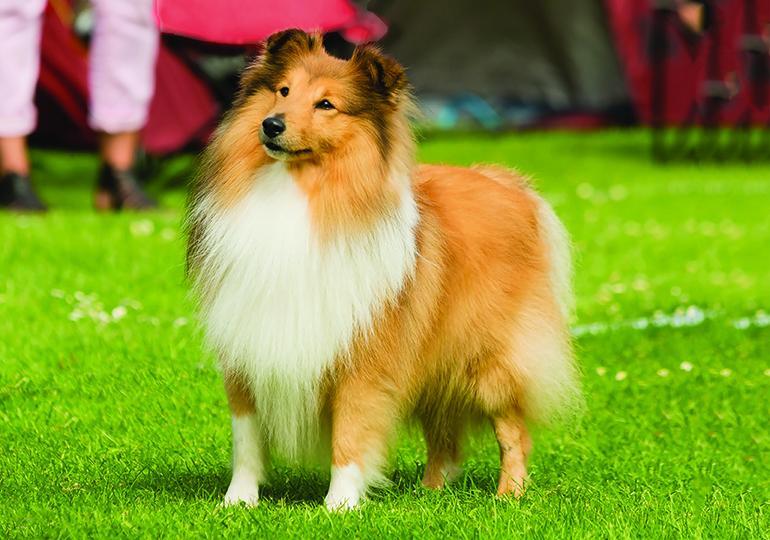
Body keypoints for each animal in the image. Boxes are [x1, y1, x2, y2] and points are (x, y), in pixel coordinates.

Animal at [186, 29, 580, 510]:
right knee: (444, 437)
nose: (271, 125)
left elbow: (350, 433)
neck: (300, 190)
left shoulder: (362, 357)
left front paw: (339, 506)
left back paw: (508, 496)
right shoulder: (246, 350)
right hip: (433, 356)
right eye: (283, 91)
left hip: (488, 358)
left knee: (512, 432)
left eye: (326, 104)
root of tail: (508, 183)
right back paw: (430, 494)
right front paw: (238, 502)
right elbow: (246, 440)